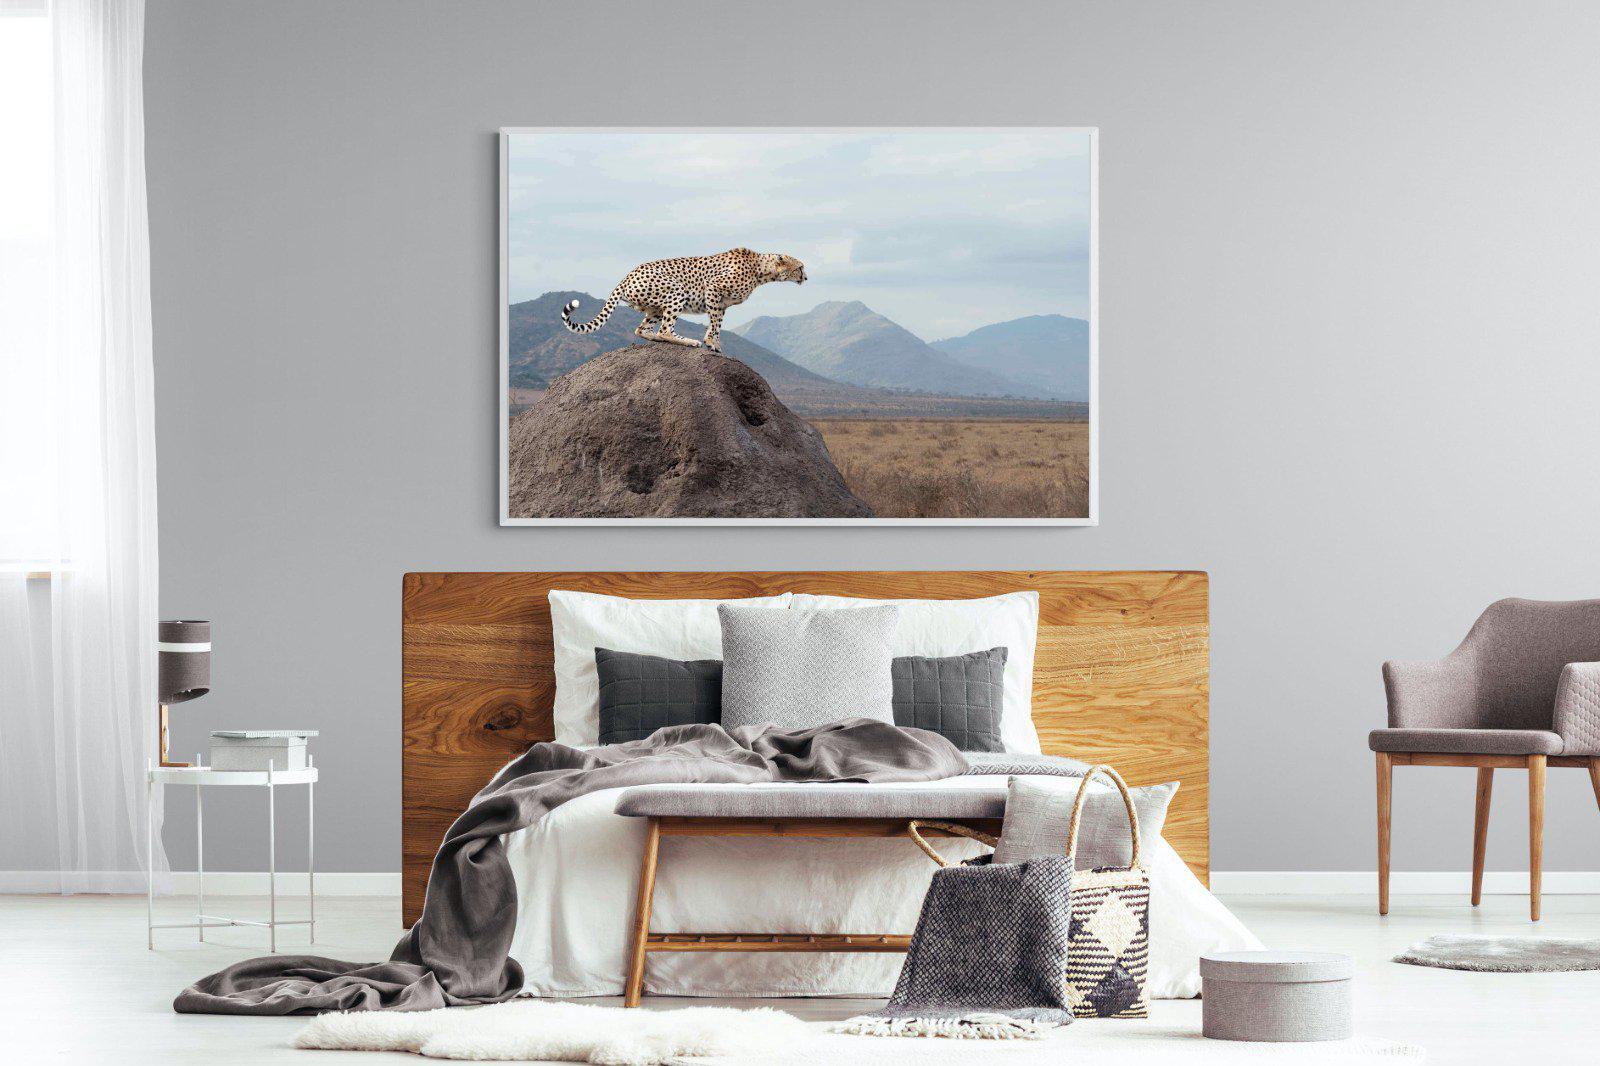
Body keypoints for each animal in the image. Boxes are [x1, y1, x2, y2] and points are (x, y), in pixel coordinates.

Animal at [561, 248, 807, 354]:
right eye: (800, 267)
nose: (806, 277)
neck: (760, 270)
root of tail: (627, 275)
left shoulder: (721, 303)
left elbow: (716, 324)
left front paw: (712, 342)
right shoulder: (713, 288)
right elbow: (715, 324)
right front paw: (712, 344)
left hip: (655, 308)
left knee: (642, 329)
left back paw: (657, 338)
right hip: (676, 291)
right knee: (665, 330)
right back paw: (688, 341)